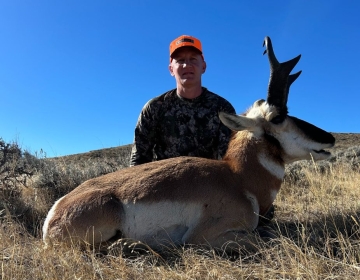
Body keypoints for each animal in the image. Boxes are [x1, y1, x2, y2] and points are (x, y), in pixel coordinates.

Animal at [43, 36, 336, 253]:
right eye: (278, 118)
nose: (330, 138)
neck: (238, 178)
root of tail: (53, 215)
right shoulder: (204, 237)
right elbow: (269, 241)